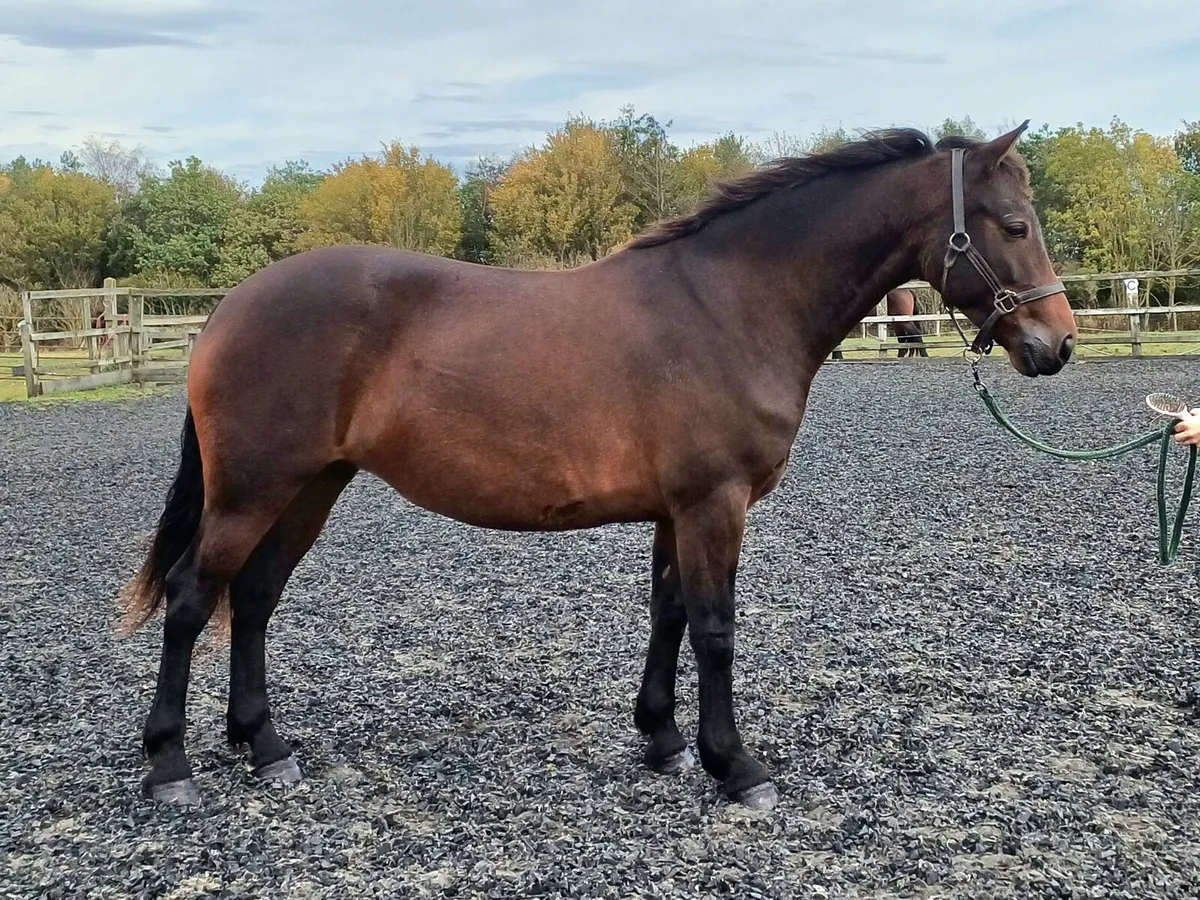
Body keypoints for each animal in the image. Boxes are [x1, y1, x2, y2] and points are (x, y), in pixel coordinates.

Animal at [120, 122, 1075, 810]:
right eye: (1015, 225)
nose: (1057, 343)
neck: (728, 306)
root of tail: (230, 310)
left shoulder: (676, 509)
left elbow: (669, 615)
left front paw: (663, 742)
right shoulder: (715, 504)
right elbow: (715, 628)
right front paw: (736, 768)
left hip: (309, 487)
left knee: (253, 599)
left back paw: (266, 747)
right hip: (252, 489)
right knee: (194, 599)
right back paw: (170, 769)